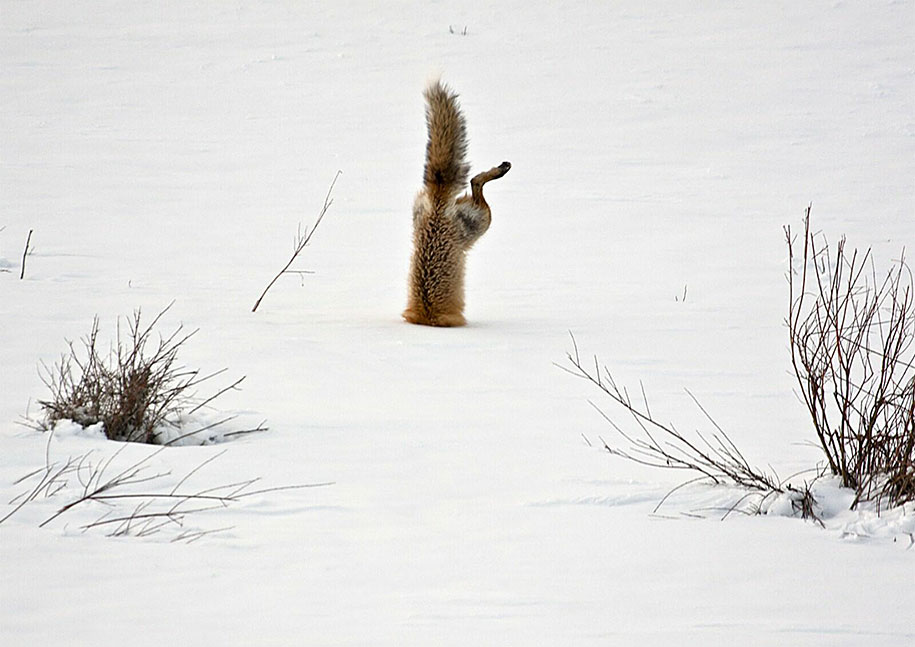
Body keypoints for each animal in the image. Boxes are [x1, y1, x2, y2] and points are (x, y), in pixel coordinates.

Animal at [402, 79, 512, 330]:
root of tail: (438, 201)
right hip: (481, 223)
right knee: (475, 181)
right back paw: (499, 170)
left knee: (475, 181)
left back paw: (500, 170)